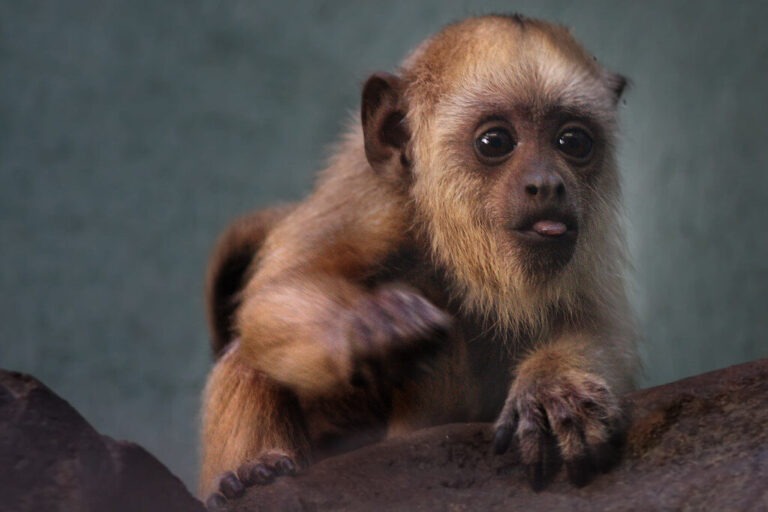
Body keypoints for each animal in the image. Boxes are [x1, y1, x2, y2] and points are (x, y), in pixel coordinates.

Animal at [199, 14, 639, 508]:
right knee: (249, 350)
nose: (546, 183)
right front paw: (368, 325)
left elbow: (601, 324)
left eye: (573, 141)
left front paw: (552, 387)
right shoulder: (366, 195)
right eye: (495, 141)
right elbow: (277, 290)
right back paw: (255, 475)